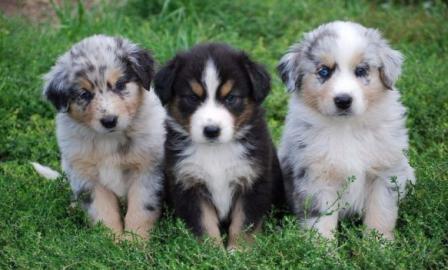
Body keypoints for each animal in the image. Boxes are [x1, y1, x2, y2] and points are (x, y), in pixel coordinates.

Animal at [40, 34, 165, 239]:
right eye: (84, 94)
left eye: (120, 85)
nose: (109, 121)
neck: (109, 140)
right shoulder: (88, 178)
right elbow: (104, 213)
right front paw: (111, 241)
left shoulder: (147, 170)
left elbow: (140, 211)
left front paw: (135, 242)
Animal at [152, 43, 282, 249]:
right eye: (192, 98)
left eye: (231, 98)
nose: (211, 130)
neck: (215, 151)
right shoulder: (189, 183)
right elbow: (203, 223)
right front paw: (211, 251)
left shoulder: (253, 181)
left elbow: (243, 223)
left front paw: (239, 250)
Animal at [278, 21, 414, 240]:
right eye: (324, 71)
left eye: (361, 70)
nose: (343, 100)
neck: (348, 127)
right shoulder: (317, 177)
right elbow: (321, 220)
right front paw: (321, 248)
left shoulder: (386, 172)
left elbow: (381, 213)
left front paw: (379, 244)